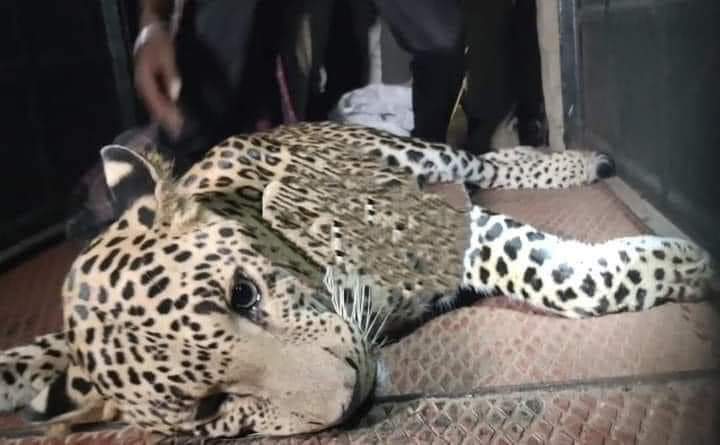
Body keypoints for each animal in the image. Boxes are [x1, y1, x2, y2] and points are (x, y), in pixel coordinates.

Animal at [0, 121, 713, 439]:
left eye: (244, 294)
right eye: (208, 409)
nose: (349, 397)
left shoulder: (435, 224)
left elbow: (549, 270)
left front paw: (685, 263)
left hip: (421, 154)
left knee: (484, 159)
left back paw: (580, 163)